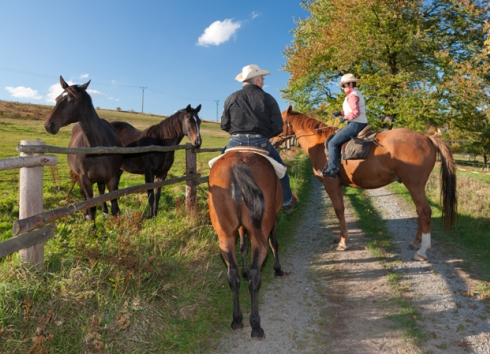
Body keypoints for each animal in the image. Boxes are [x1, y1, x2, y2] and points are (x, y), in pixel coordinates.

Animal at [44, 76, 122, 220]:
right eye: (57, 99)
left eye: (72, 100)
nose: (48, 125)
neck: (97, 150)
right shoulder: (85, 179)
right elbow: (91, 207)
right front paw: (90, 221)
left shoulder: (113, 178)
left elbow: (114, 206)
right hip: (80, 177)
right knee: (84, 196)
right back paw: (86, 214)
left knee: (101, 191)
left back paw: (104, 211)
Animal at [209, 151, 286, 338]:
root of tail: (237, 165)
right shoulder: (272, 222)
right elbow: (274, 242)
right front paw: (278, 269)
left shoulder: (241, 228)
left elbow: (243, 246)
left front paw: (243, 270)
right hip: (260, 234)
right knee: (255, 274)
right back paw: (256, 325)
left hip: (225, 236)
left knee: (232, 274)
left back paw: (237, 319)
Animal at [272, 103, 456, 262]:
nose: (272, 141)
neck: (319, 144)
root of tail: (427, 137)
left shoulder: (331, 185)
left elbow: (339, 210)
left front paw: (343, 242)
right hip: (414, 186)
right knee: (419, 211)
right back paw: (416, 242)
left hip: (414, 185)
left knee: (424, 212)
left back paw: (423, 250)